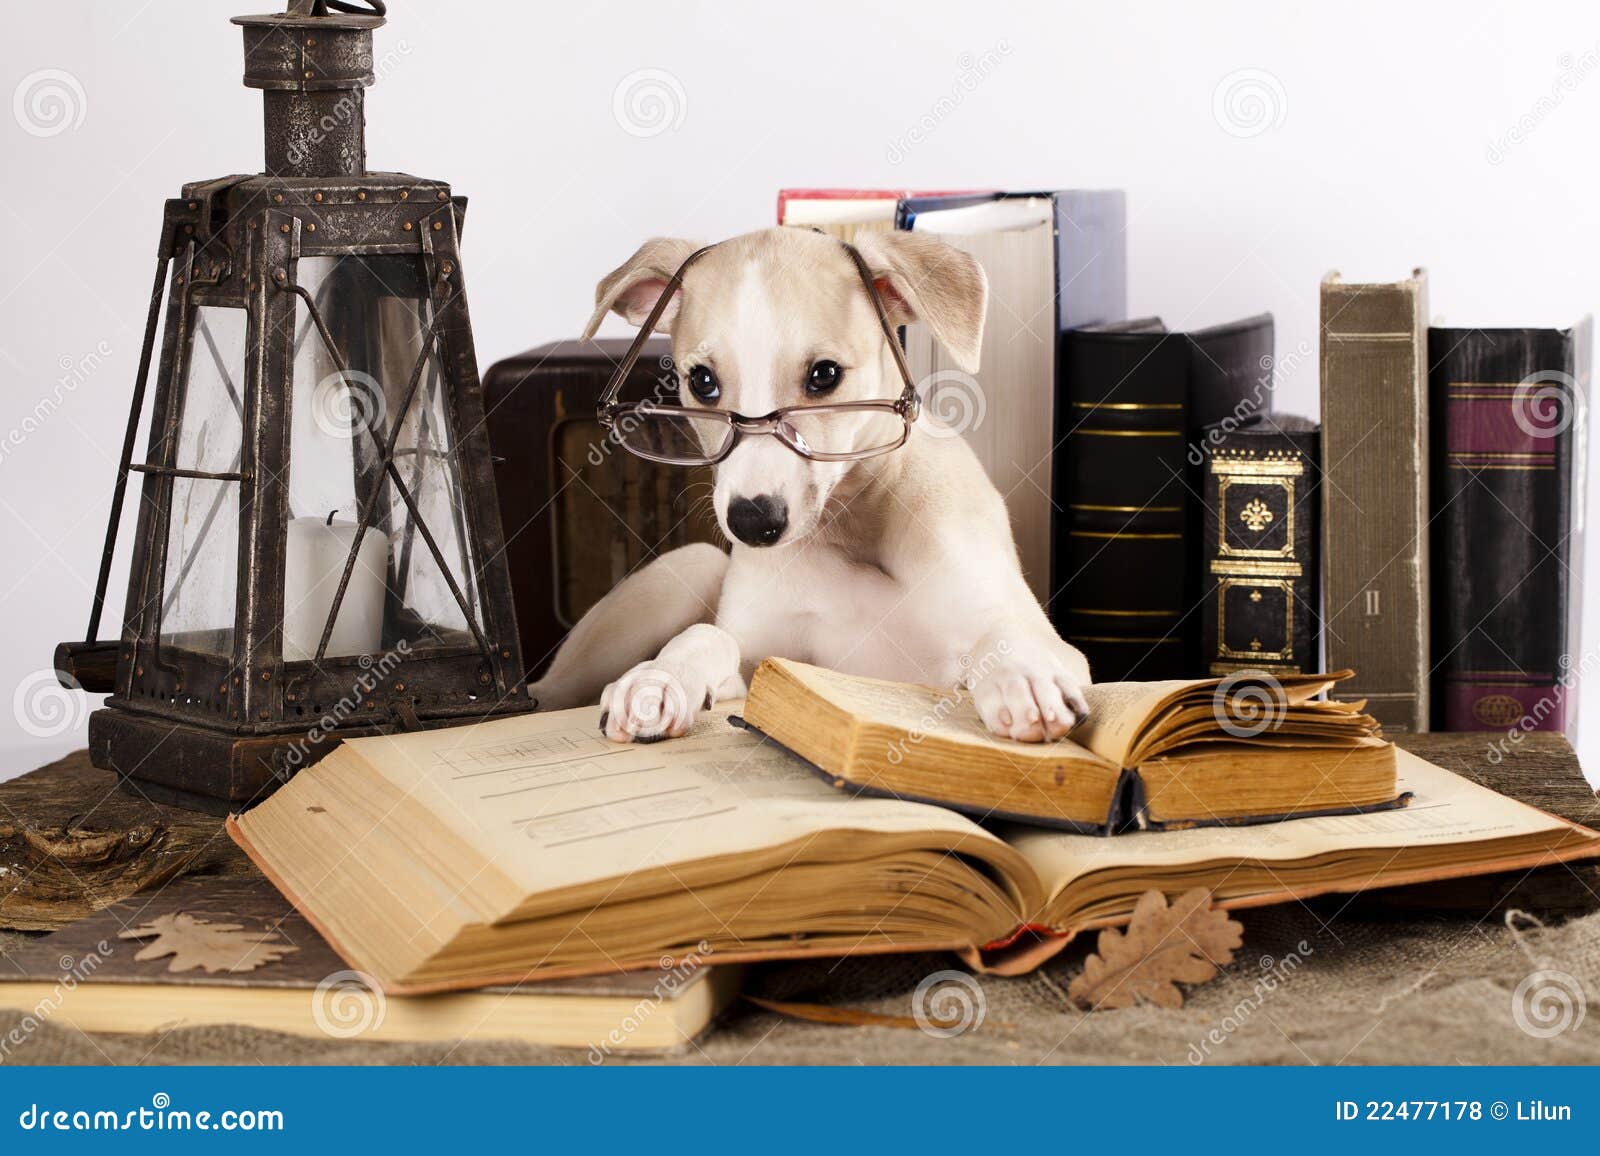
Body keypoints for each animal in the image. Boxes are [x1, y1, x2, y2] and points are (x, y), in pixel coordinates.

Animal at [531, 227, 1094, 739]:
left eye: (825, 375)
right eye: (702, 382)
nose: (753, 523)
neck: (854, 531)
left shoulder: (1044, 641)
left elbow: (999, 637)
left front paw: (1022, 675)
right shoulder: (759, 669)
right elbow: (711, 637)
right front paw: (659, 678)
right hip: (687, 567)